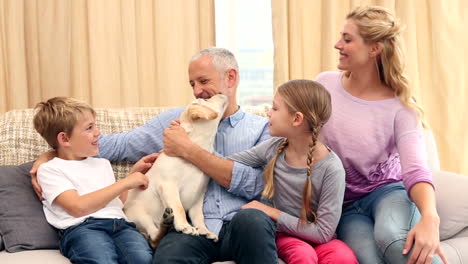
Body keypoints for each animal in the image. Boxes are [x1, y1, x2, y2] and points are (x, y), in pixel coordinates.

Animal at [123, 94, 228, 248]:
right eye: (206, 99)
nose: (221, 93)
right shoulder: (169, 186)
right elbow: (179, 208)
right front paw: (185, 226)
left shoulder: (198, 196)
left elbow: (199, 216)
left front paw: (204, 230)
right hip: (141, 216)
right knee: (154, 238)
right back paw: (166, 222)